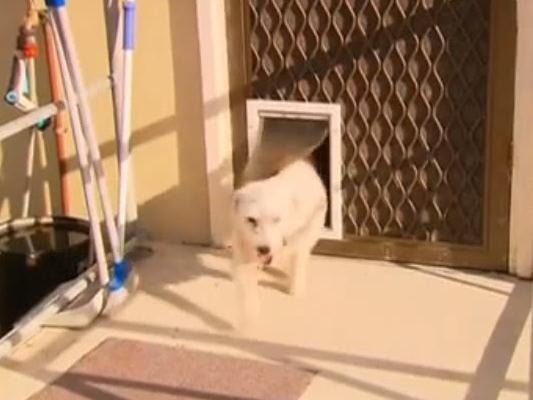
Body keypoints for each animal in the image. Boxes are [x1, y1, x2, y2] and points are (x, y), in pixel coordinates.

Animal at [231, 157, 327, 331]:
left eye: (276, 219)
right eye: (251, 220)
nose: (264, 249)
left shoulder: (300, 236)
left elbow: (298, 260)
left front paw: (295, 289)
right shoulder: (244, 246)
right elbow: (246, 286)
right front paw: (248, 321)